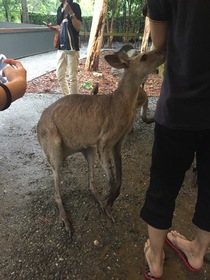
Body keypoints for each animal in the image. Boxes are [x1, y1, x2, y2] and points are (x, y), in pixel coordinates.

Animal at [37, 48, 166, 236]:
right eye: (143, 57)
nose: (164, 51)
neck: (122, 102)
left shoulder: (118, 143)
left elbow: (119, 176)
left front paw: (110, 199)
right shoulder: (104, 141)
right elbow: (111, 178)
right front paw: (110, 198)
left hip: (87, 148)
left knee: (91, 185)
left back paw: (103, 206)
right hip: (53, 145)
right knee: (57, 191)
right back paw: (67, 221)